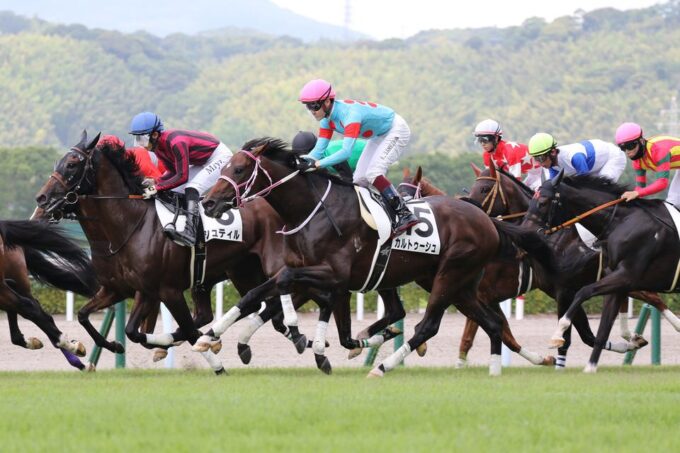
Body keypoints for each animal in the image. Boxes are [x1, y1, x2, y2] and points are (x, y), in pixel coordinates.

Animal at [500, 171, 680, 372]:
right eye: (532, 201)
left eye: (543, 202)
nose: (524, 232)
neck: (622, 222)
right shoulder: (616, 279)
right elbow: (598, 330)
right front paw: (590, 366)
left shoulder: (613, 278)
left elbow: (581, 300)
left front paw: (557, 337)